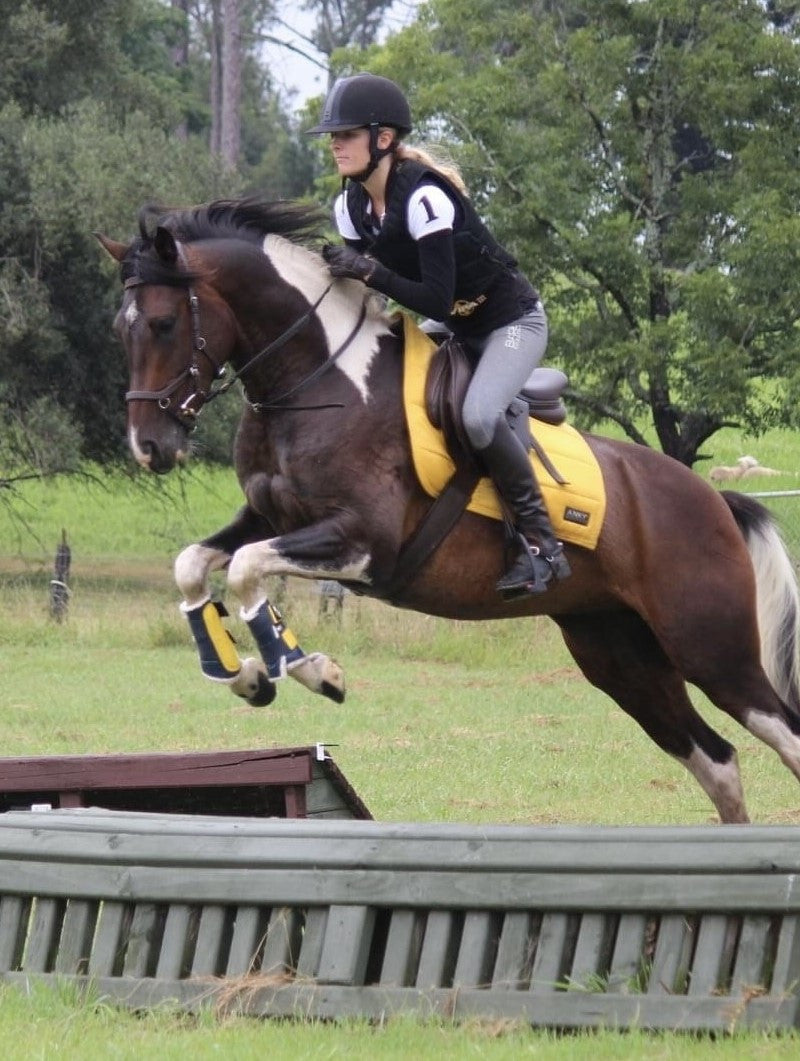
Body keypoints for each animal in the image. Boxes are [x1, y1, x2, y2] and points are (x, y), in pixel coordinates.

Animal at [97, 197, 800, 824]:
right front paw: (243, 677)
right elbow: (196, 564)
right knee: (717, 760)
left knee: (778, 732)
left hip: (711, 649)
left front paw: (314, 671)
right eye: (119, 330)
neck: (317, 383)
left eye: (162, 324)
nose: (149, 448)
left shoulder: (363, 542)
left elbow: (245, 568)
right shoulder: (272, 520)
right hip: (621, 656)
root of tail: (712, 498)